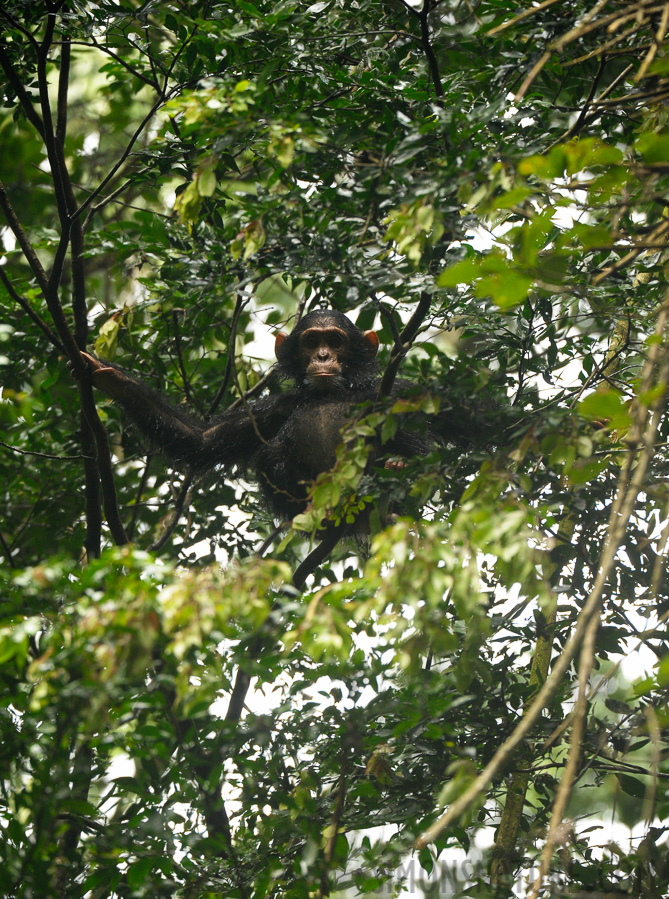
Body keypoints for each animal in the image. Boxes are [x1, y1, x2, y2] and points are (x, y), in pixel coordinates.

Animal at [79, 310, 428, 524]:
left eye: (335, 341)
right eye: (311, 342)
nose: (323, 356)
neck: (328, 394)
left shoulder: (393, 391)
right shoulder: (273, 410)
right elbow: (201, 442)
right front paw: (113, 378)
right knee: (270, 453)